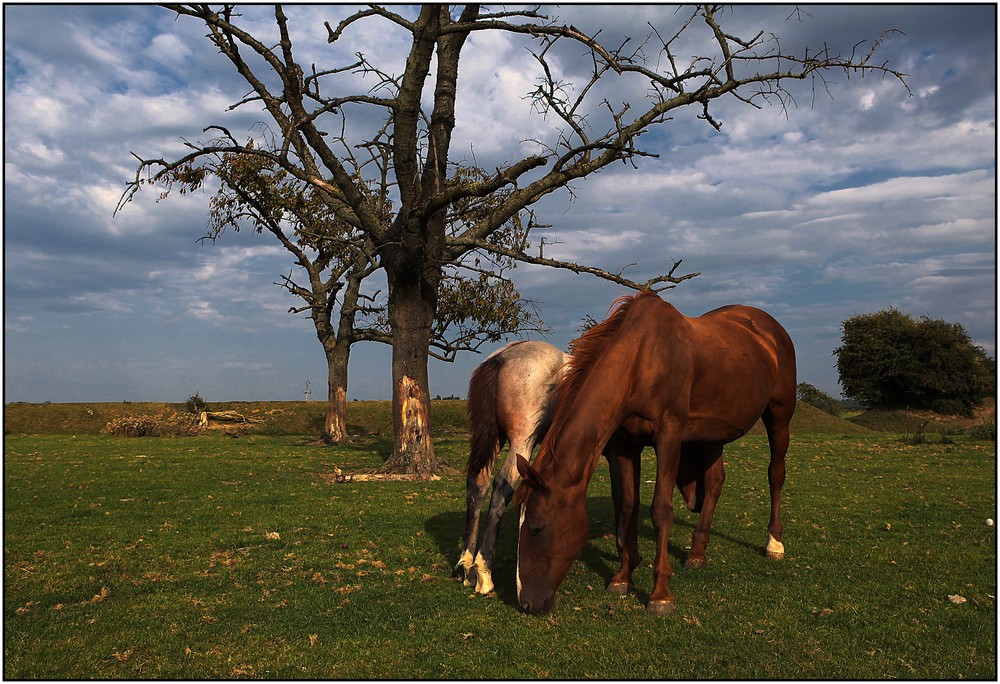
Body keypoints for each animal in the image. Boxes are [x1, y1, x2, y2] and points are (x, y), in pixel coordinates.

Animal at [456, 340, 572, 592]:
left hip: (496, 440)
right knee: (502, 484)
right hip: (522, 441)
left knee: (477, 483)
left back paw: (468, 567)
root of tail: (501, 358)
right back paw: (484, 572)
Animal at [516, 292, 796, 616]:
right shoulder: (624, 445)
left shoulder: (669, 436)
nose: (527, 602)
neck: (642, 358)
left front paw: (660, 594)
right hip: (713, 433)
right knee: (714, 483)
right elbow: (627, 506)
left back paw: (774, 543)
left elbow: (661, 510)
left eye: (536, 527)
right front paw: (623, 577)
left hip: (779, 415)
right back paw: (697, 553)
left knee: (776, 474)